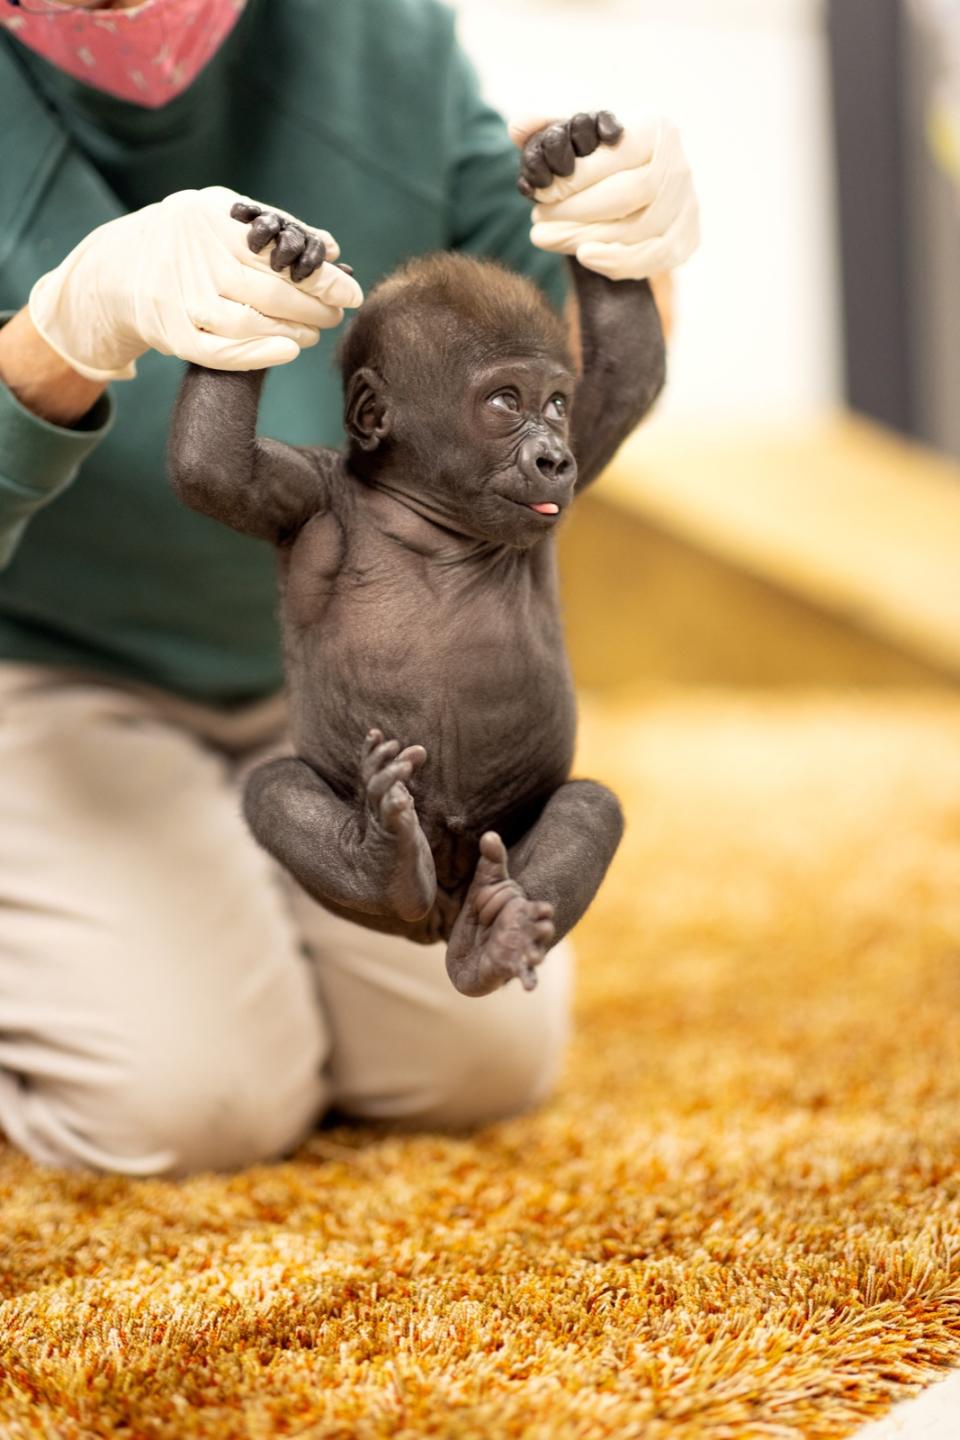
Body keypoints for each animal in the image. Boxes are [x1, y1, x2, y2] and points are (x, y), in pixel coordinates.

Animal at [169, 112, 664, 996]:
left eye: (557, 405)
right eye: (505, 402)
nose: (554, 460)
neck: (430, 514)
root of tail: (436, 914)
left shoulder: (582, 449)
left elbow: (630, 376)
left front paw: (578, 166)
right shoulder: (304, 491)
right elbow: (210, 468)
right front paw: (270, 266)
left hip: (494, 858)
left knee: (590, 807)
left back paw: (493, 937)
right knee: (273, 787)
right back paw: (377, 862)